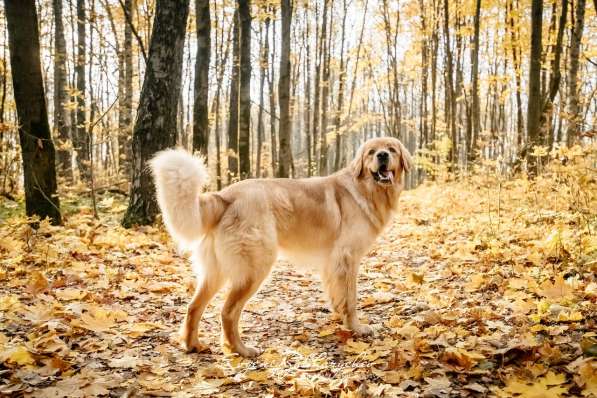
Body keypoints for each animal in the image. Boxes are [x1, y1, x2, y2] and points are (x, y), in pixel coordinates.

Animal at [150, 137, 410, 358]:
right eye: (371, 152)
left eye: (391, 149)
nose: (383, 156)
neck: (366, 189)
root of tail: (225, 196)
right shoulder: (347, 258)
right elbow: (352, 299)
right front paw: (356, 327)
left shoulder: (332, 264)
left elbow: (338, 297)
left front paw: (341, 319)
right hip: (255, 268)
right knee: (228, 312)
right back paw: (240, 350)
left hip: (217, 271)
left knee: (194, 307)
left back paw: (192, 345)